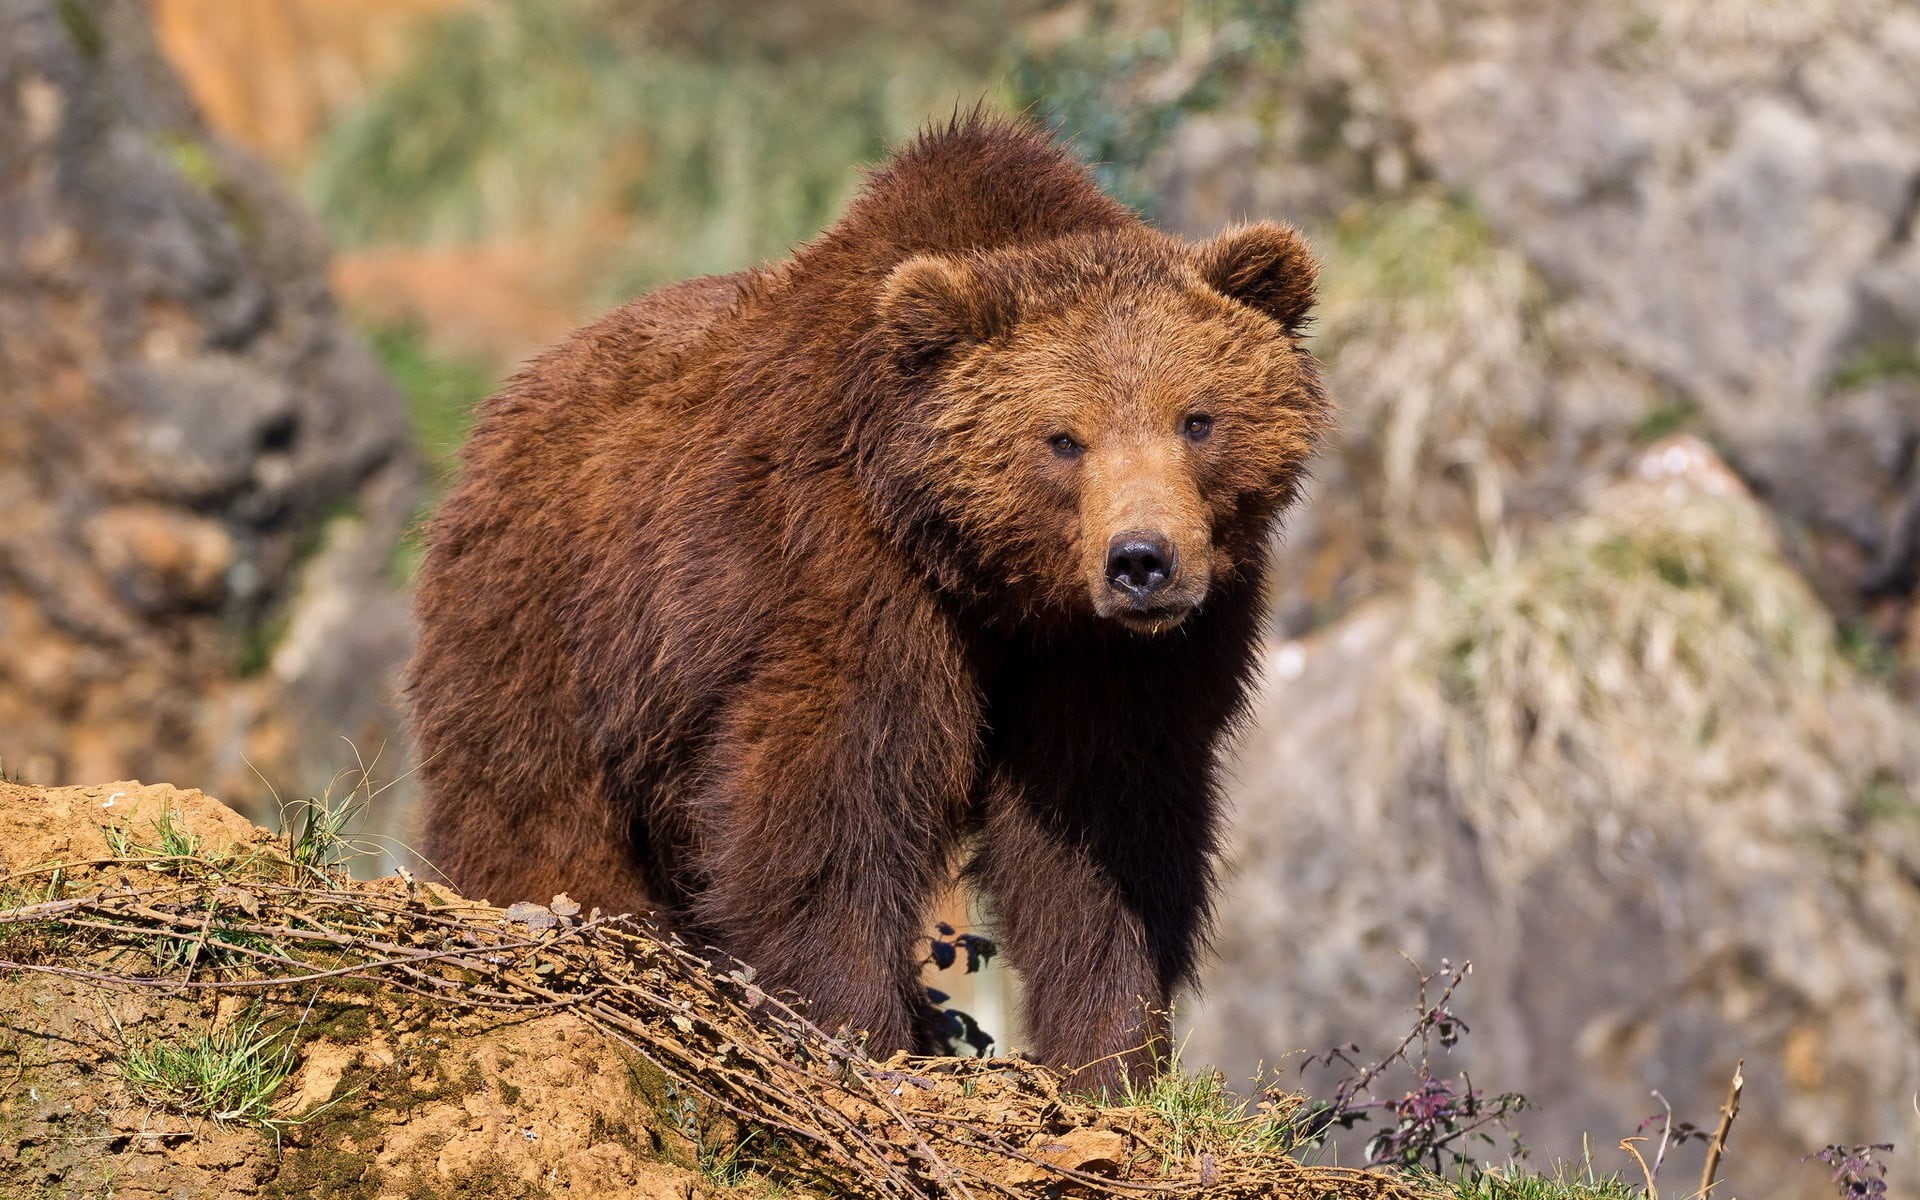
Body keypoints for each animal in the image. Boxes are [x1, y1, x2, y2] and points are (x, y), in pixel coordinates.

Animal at [408, 113, 1330, 1089]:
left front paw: (1111, 1057)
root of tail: (505, 403)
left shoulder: (1121, 658)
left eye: (1198, 419)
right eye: (1062, 439)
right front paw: (862, 1028)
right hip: (551, 615)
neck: (998, 583)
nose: (1142, 562)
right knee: (532, 796)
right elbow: (829, 803)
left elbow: (1105, 834)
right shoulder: (846, 573)